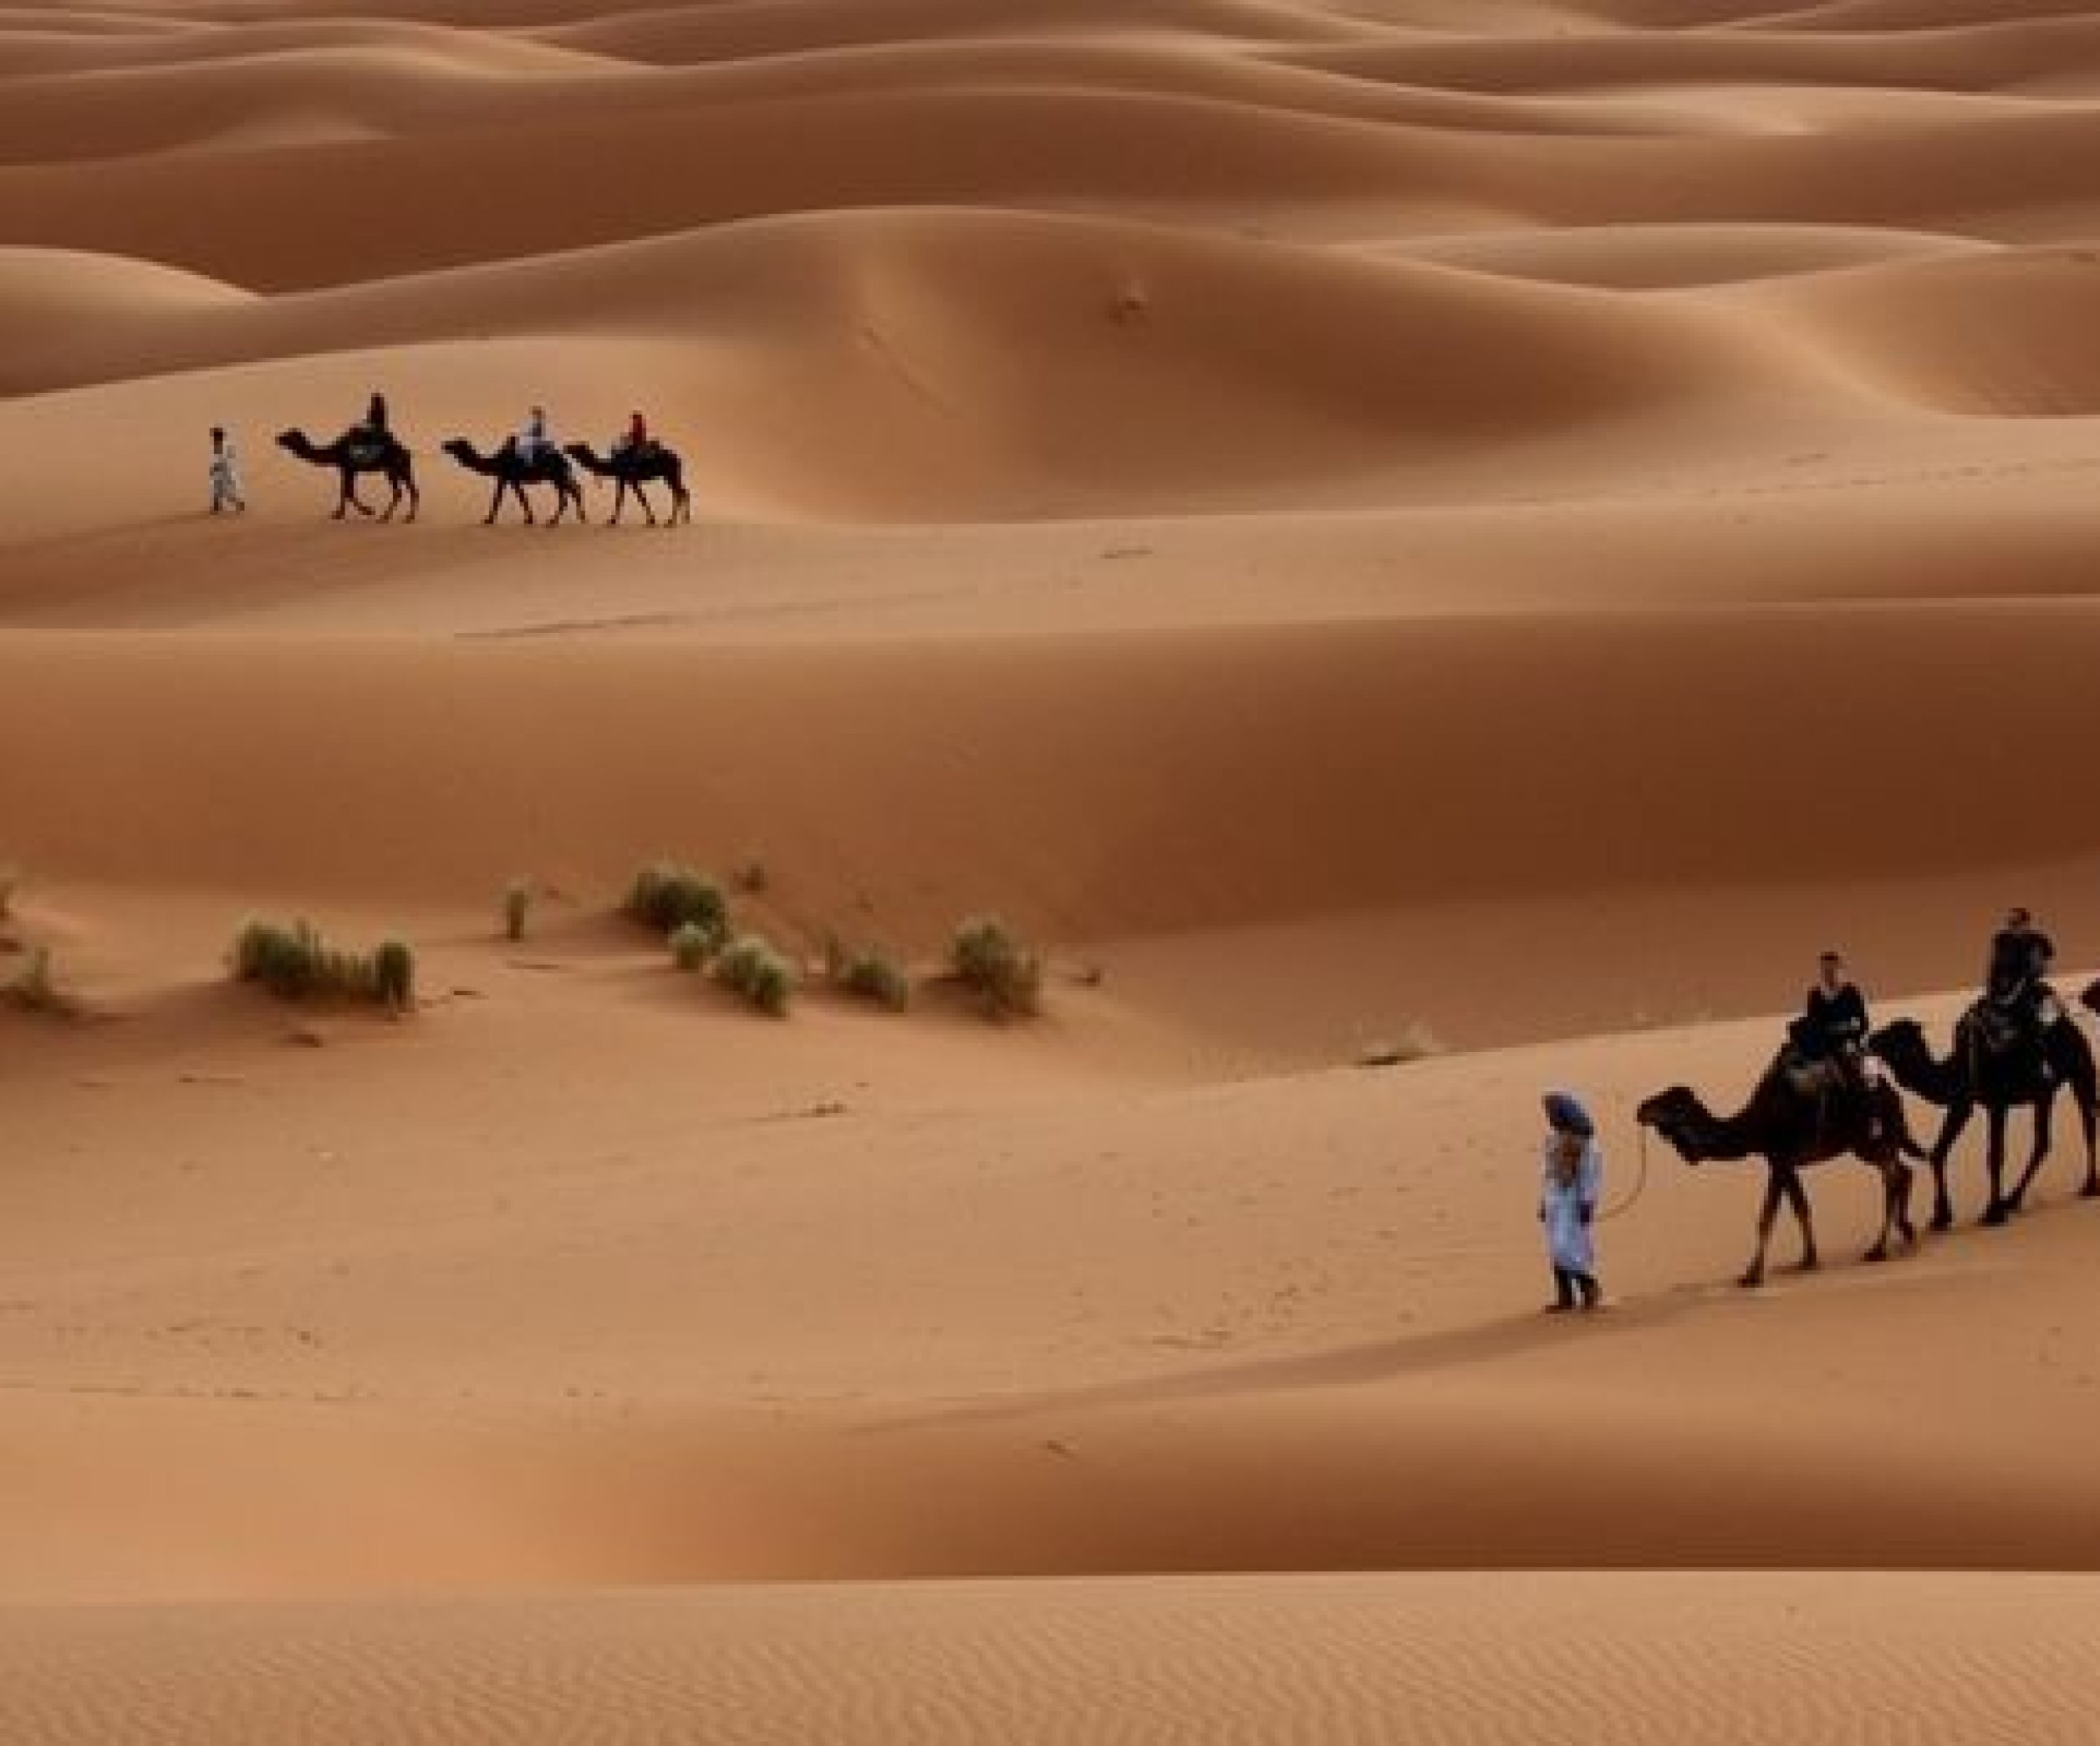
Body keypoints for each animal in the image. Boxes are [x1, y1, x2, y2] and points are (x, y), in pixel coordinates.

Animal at [277, 432, 420, 525]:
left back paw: (396, 518)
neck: (334, 451)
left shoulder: (348, 468)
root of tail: (406, 451)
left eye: (287, 435)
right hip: (395, 469)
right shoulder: (346, 469)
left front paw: (368, 511)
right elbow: (345, 491)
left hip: (395, 468)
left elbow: (348, 492)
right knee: (406, 491)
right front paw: (338, 514)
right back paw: (398, 517)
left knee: (405, 491)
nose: (277, 438)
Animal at [443, 436, 588, 525]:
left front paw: (488, 520)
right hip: (560, 476)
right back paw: (580, 518)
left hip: (556, 476)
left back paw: (553, 521)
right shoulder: (509, 479)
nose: (444, 444)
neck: (495, 462)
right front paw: (529, 519)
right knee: (575, 490)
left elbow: (503, 499)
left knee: (567, 495)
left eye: (455, 442)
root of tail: (565, 460)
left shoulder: (508, 478)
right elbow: (517, 498)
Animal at [563, 441, 692, 523]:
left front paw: (611, 521)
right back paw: (684, 519)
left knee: (679, 493)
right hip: (670, 476)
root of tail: (678, 459)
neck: (613, 465)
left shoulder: (628, 479)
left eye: (576, 446)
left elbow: (627, 499)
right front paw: (651, 519)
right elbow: (635, 498)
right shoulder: (625, 479)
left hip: (670, 474)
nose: (566, 446)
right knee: (683, 491)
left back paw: (671, 521)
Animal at [1629, 1059, 1923, 1294]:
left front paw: (1752, 1276)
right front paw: (1807, 1260)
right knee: (1903, 1171)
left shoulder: (1778, 1160)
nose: (1640, 1109)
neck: (1754, 1127)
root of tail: (1893, 1093)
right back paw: (1906, 1232)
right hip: (1871, 1142)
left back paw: (1878, 1249)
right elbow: (1801, 1207)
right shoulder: (1786, 1164)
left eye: (1667, 1103)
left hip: (1866, 1139)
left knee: (1893, 1177)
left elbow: (1766, 1217)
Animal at [1881, 995, 2100, 1227]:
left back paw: (2089, 1186)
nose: (1871, 1040)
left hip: (2080, 1070)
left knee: (2087, 1123)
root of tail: (2072, 1025)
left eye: (1891, 1037)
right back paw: (2012, 1200)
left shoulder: (1996, 1104)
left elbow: (1994, 1155)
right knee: (2042, 1141)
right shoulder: (1963, 1102)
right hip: (2044, 1093)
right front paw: (1941, 1216)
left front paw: (1993, 1213)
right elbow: (1939, 1151)